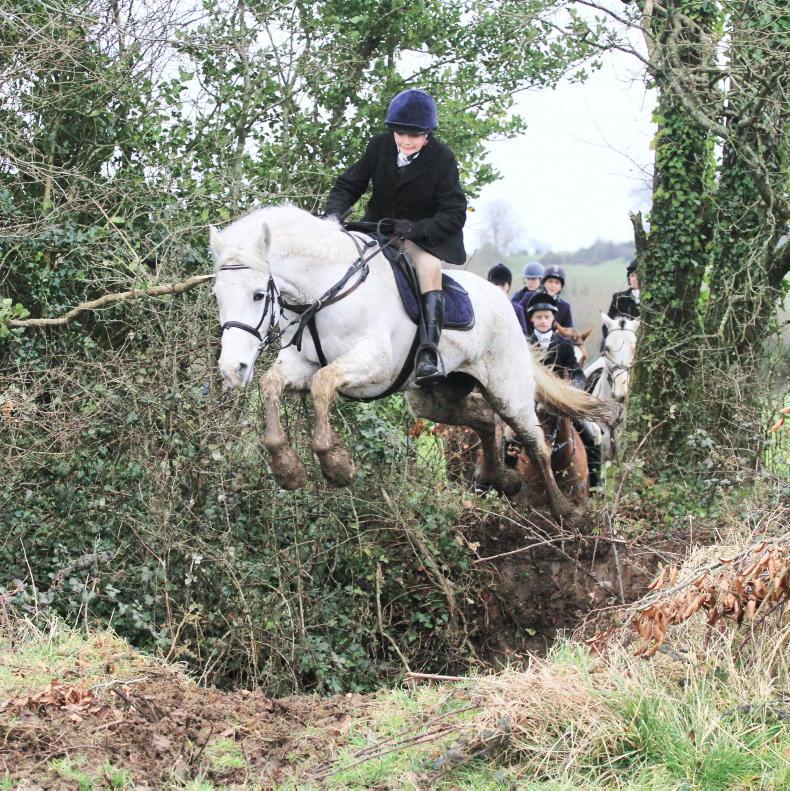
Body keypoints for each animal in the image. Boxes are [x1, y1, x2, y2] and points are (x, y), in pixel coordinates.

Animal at [210, 206, 618, 522]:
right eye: (216, 295)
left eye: (258, 294)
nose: (232, 369)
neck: (327, 290)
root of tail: (502, 303)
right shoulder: (301, 362)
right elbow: (271, 384)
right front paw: (288, 469)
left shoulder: (373, 364)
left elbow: (323, 383)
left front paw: (336, 465)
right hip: (433, 396)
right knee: (484, 420)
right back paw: (500, 478)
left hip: (506, 387)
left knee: (534, 441)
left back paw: (564, 509)